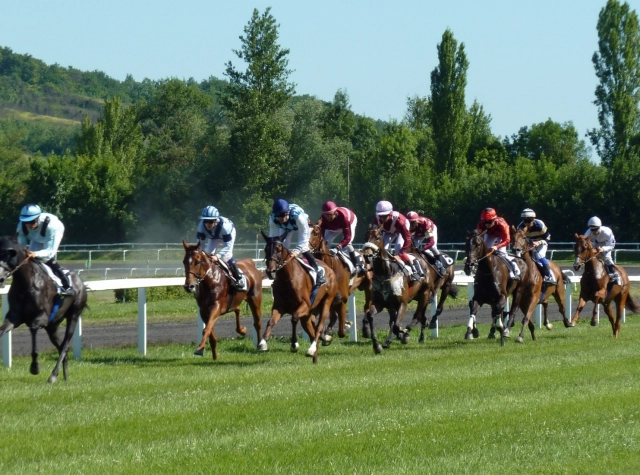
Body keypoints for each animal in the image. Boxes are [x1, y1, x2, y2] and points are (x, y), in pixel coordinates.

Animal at [0, 236, 87, 384]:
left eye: (8, 256)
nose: (0, 279)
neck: (26, 285)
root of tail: (81, 282)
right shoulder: (14, 317)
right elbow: (1, 330)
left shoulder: (41, 317)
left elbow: (34, 331)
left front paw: (35, 367)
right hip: (52, 326)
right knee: (61, 347)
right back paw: (65, 376)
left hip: (74, 316)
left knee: (64, 346)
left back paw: (53, 375)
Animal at [260, 231, 340, 364]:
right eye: (266, 249)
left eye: (279, 249)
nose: (270, 271)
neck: (287, 279)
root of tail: (329, 270)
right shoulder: (279, 306)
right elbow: (270, 321)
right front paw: (262, 343)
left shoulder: (304, 305)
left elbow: (294, 318)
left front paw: (294, 345)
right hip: (308, 315)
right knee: (312, 332)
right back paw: (315, 355)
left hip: (326, 302)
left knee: (318, 328)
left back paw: (312, 349)